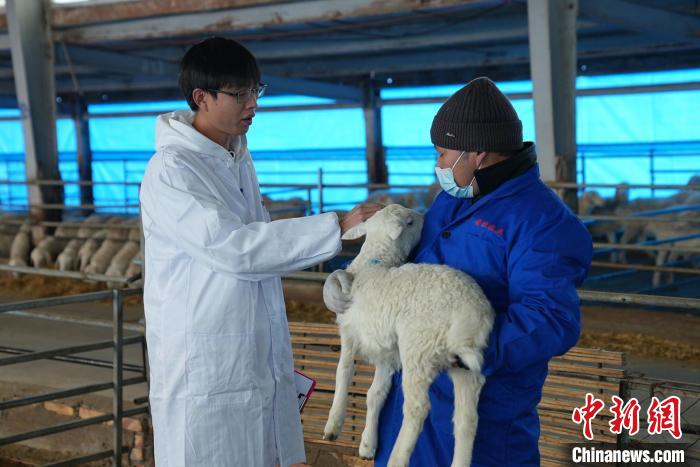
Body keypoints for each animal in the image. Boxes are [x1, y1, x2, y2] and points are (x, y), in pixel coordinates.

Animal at [322, 205, 492, 467]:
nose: (425, 216)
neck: (375, 262)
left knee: (417, 409)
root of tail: (470, 314)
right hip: (465, 366)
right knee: (467, 420)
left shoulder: (350, 333)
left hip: (419, 348)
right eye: (410, 223)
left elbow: (343, 373)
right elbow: (375, 394)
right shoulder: (387, 353)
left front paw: (334, 425)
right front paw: (368, 445)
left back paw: (397, 458)